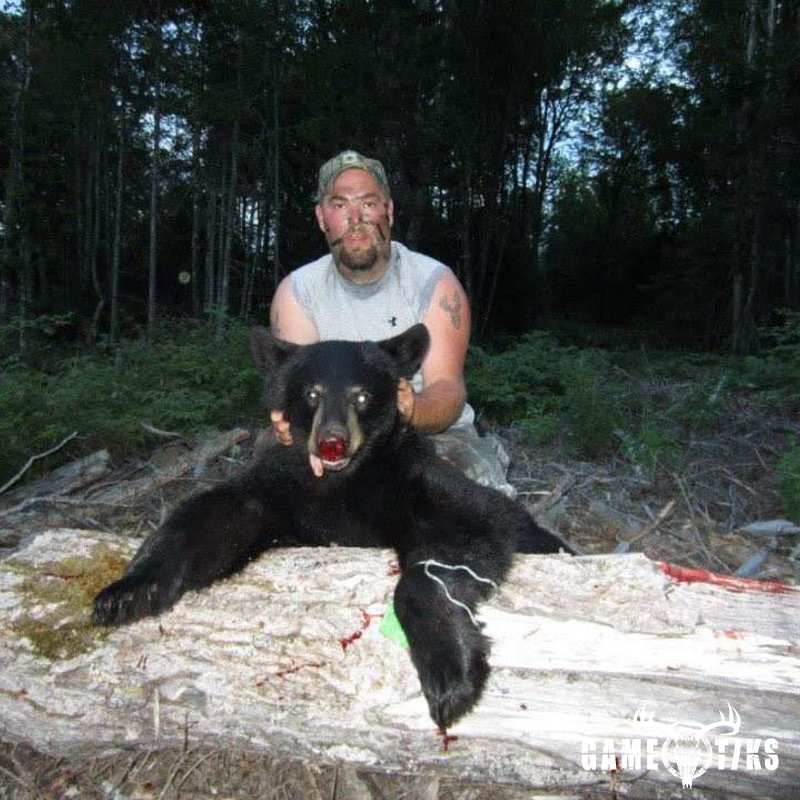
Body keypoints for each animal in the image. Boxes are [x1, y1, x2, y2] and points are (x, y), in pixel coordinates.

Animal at [93, 323, 569, 730]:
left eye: (361, 396)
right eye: (312, 393)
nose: (332, 443)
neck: (343, 482)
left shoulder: (421, 489)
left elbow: (462, 536)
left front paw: (451, 674)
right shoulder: (285, 492)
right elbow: (211, 516)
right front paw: (127, 591)